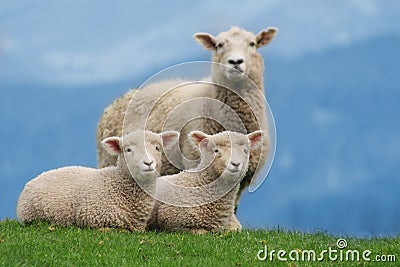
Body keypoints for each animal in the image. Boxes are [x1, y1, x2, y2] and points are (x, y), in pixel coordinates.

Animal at [16, 131, 178, 231]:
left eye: (157, 148)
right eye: (128, 150)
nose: (148, 163)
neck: (116, 185)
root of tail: (34, 179)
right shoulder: (94, 217)